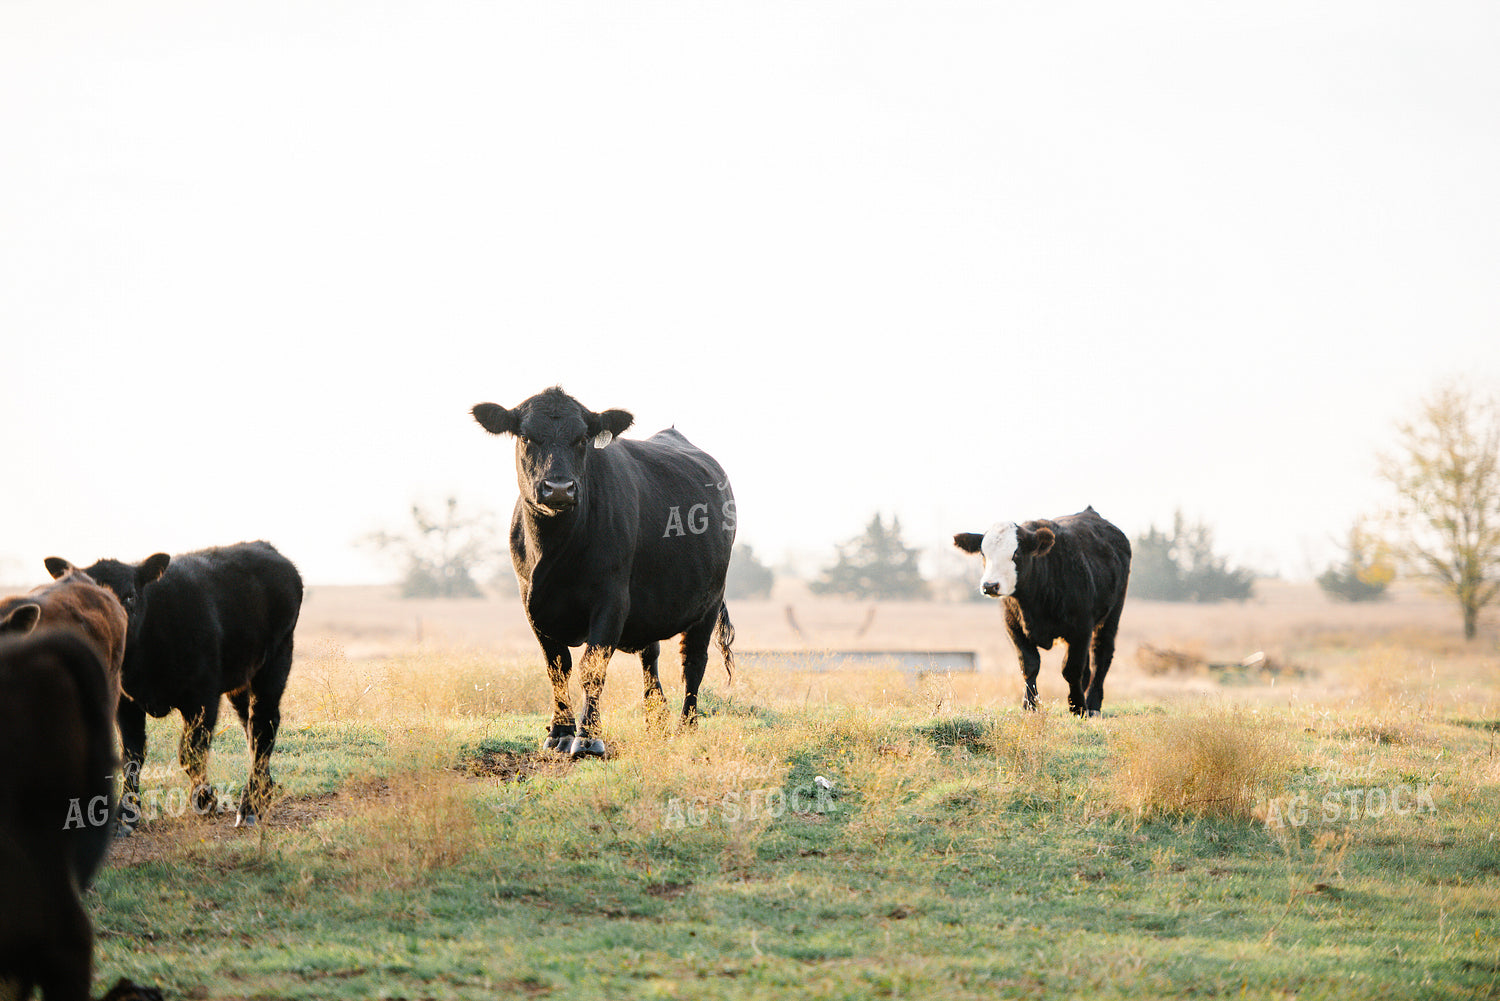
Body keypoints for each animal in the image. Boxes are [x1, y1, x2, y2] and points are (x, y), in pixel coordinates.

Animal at [50, 541, 303, 830]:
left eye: (130, 596)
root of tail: (266, 547)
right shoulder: (125, 703)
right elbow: (131, 756)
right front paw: (125, 815)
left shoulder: (203, 697)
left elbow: (191, 754)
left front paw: (205, 801)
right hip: (241, 681)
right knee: (250, 727)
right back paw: (265, 791)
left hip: (275, 661)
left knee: (263, 724)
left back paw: (250, 806)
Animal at [472, 386, 736, 757]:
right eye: (526, 436)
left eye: (582, 438)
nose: (558, 488)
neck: (555, 551)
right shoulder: (531, 603)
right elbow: (557, 667)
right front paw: (559, 732)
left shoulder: (611, 601)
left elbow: (592, 669)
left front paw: (587, 737)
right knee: (650, 657)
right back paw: (656, 720)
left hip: (709, 602)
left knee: (693, 662)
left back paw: (686, 727)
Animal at [953, 506, 1130, 717]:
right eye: (983, 554)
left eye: (1016, 554)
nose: (990, 585)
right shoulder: (1013, 625)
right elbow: (1029, 665)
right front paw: (1030, 705)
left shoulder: (1081, 627)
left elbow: (1071, 669)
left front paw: (1078, 707)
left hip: (1112, 614)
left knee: (1101, 656)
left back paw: (1093, 704)